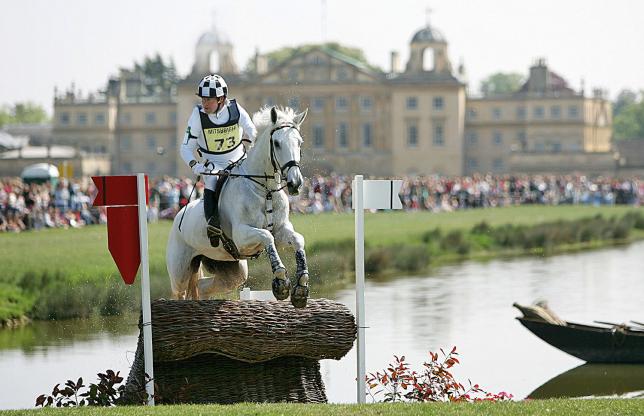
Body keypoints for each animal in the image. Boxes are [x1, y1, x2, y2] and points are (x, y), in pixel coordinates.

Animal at [167, 106, 310, 308]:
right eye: (276, 143)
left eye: (299, 143)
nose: (295, 183)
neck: (265, 190)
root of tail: (178, 216)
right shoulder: (242, 237)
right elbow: (266, 237)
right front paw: (281, 282)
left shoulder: (281, 230)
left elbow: (298, 240)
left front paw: (301, 288)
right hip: (180, 271)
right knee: (179, 293)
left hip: (231, 269)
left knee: (202, 287)